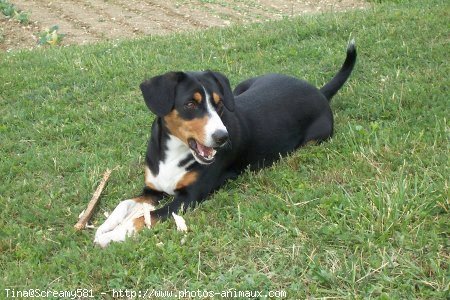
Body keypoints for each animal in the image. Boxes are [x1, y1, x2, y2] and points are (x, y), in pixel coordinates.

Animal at [93, 40, 356, 246]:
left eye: (218, 105)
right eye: (190, 104)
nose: (222, 137)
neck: (175, 152)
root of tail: (319, 92)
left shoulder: (188, 198)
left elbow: (144, 217)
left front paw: (114, 235)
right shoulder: (152, 189)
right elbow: (124, 204)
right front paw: (104, 226)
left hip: (312, 138)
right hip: (241, 88)